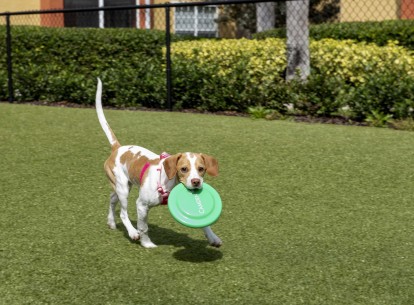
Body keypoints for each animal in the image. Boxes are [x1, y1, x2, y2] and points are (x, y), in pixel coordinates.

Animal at [95, 79, 222, 248]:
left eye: (201, 169)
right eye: (183, 169)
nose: (196, 182)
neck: (169, 182)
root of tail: (117, 148)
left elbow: (205, 223)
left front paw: (213, 237)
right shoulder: (141, 205)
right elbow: (143, 227)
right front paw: (146, 243)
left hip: (122, 185)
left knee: (111, 199)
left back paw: (111, 222)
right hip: (123, 189)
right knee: (123, 213)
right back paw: (132, 232)